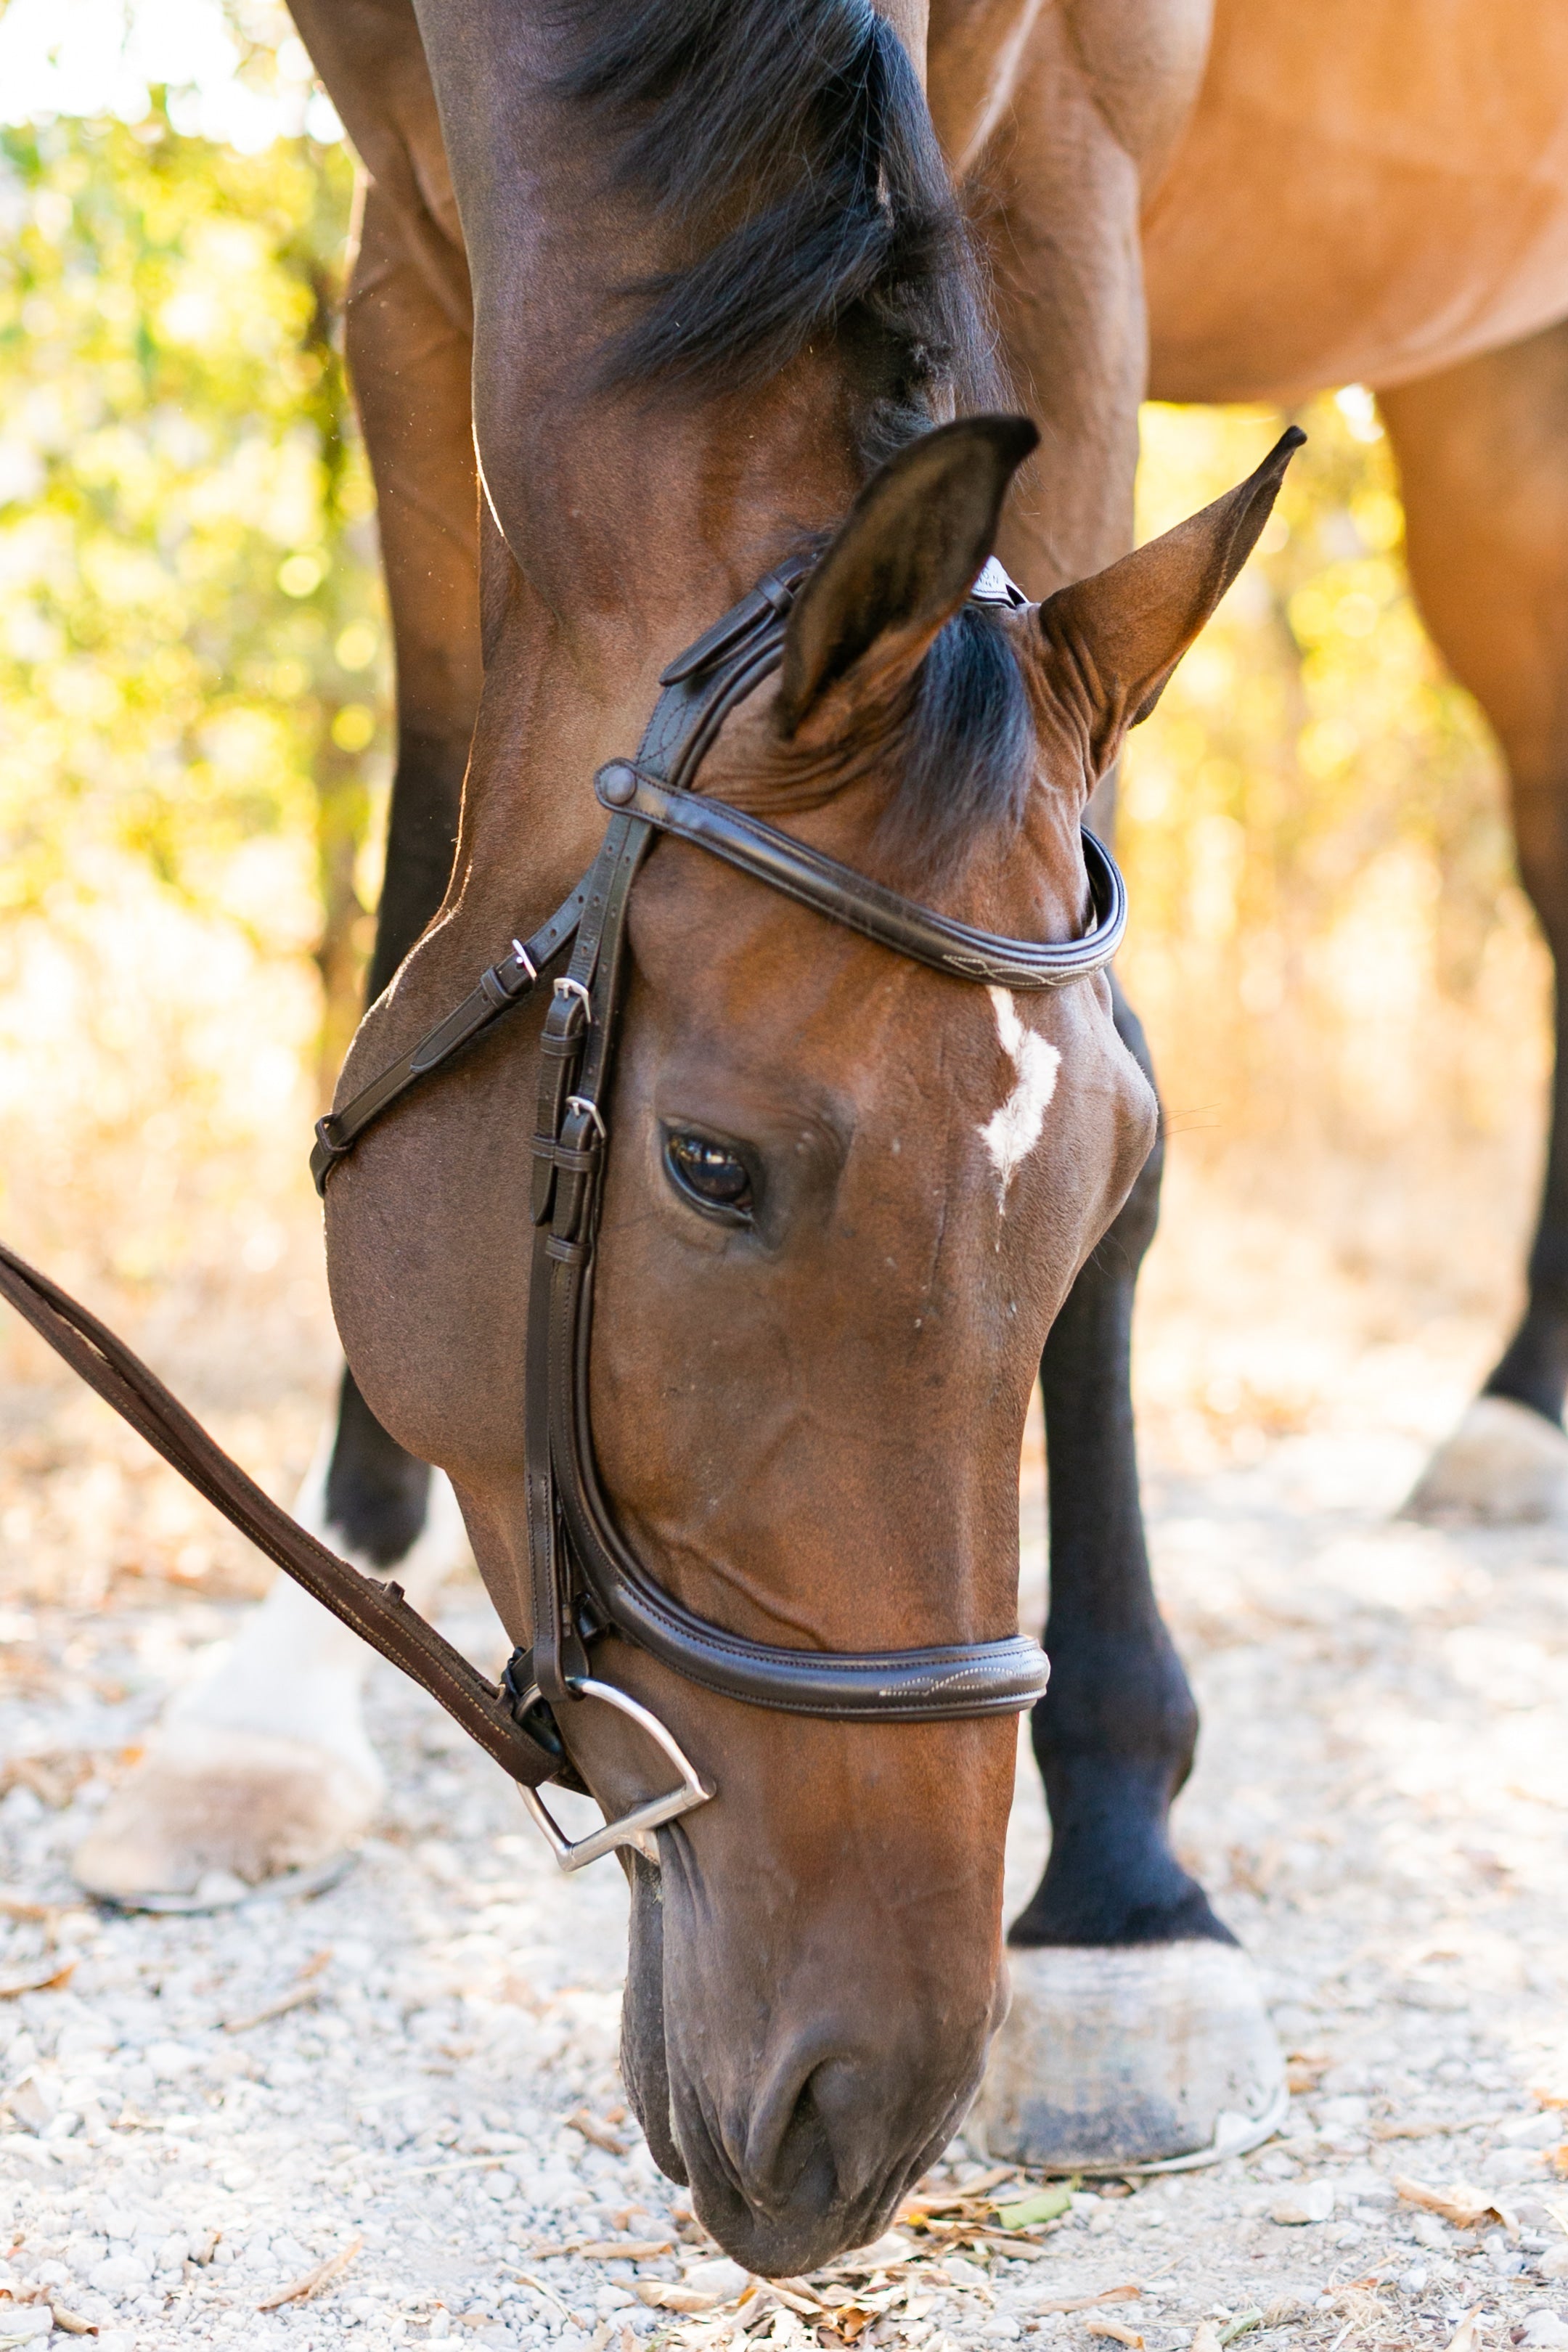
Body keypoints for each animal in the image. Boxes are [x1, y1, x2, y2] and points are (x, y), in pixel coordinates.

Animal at [76, 0, 1568, 2258]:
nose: (860, 2107)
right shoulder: (405, 253)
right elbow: (426, 863)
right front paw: (272, 1683)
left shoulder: (1068, 204)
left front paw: (1121, 1905)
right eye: (712, 1168)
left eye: (1099, 1175)